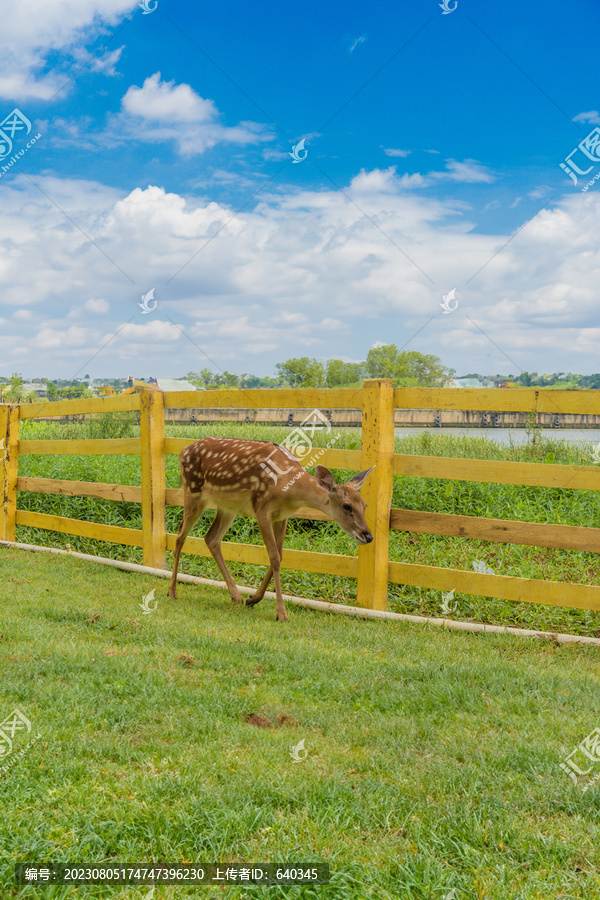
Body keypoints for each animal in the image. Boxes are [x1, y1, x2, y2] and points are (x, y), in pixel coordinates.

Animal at [168, 438, 376, 624]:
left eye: (365, 505)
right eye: (347, 506)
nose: (367, 535)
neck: (289, 491)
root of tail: (183, 451)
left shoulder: (282, 516)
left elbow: (280, 555)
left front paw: (253, 598)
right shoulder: (262, 509)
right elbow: (274, 558)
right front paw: (281, 613)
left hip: (227, 506)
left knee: (211, 538)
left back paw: (237, 597)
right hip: (193, 491)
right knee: (180, 534)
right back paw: (172, 591)